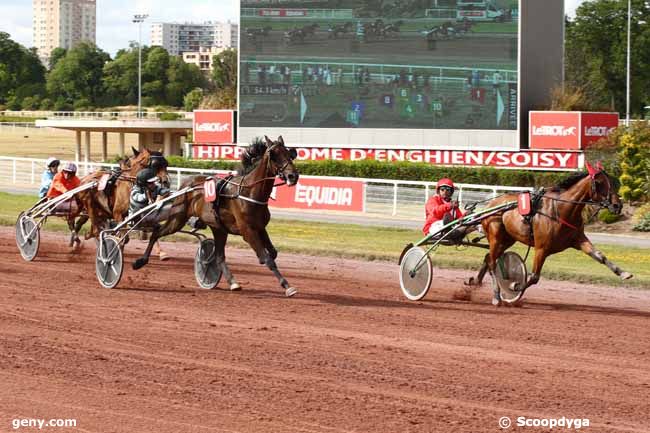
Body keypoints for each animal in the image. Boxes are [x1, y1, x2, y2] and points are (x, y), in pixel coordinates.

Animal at [134, 135, 302, 296]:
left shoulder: (260, 228)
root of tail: (186, 185)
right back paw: (140, 261)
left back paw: (232, 283)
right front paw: (287, 286)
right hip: (177, 219)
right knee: (156, 233)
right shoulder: (248, 231)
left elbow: (272, 253)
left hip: (218, 228)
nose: (293, 176)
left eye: (290, 154)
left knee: (219, 257)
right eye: (274, 155)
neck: (249, 192)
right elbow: (268, 258)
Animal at [468, 162, 632, 304]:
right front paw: (515, 286)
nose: (617, 205)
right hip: (496, 236)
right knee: (492, 262)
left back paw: (476, 282)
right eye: (598, 183)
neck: (561, 210)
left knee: (488, 258)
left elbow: (599, 256)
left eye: (612, 182)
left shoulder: (578, 239)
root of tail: (489, 205)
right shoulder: (542, 248)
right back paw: (496, 295)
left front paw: (623, 273)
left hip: (507, 239)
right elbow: (533, 277)